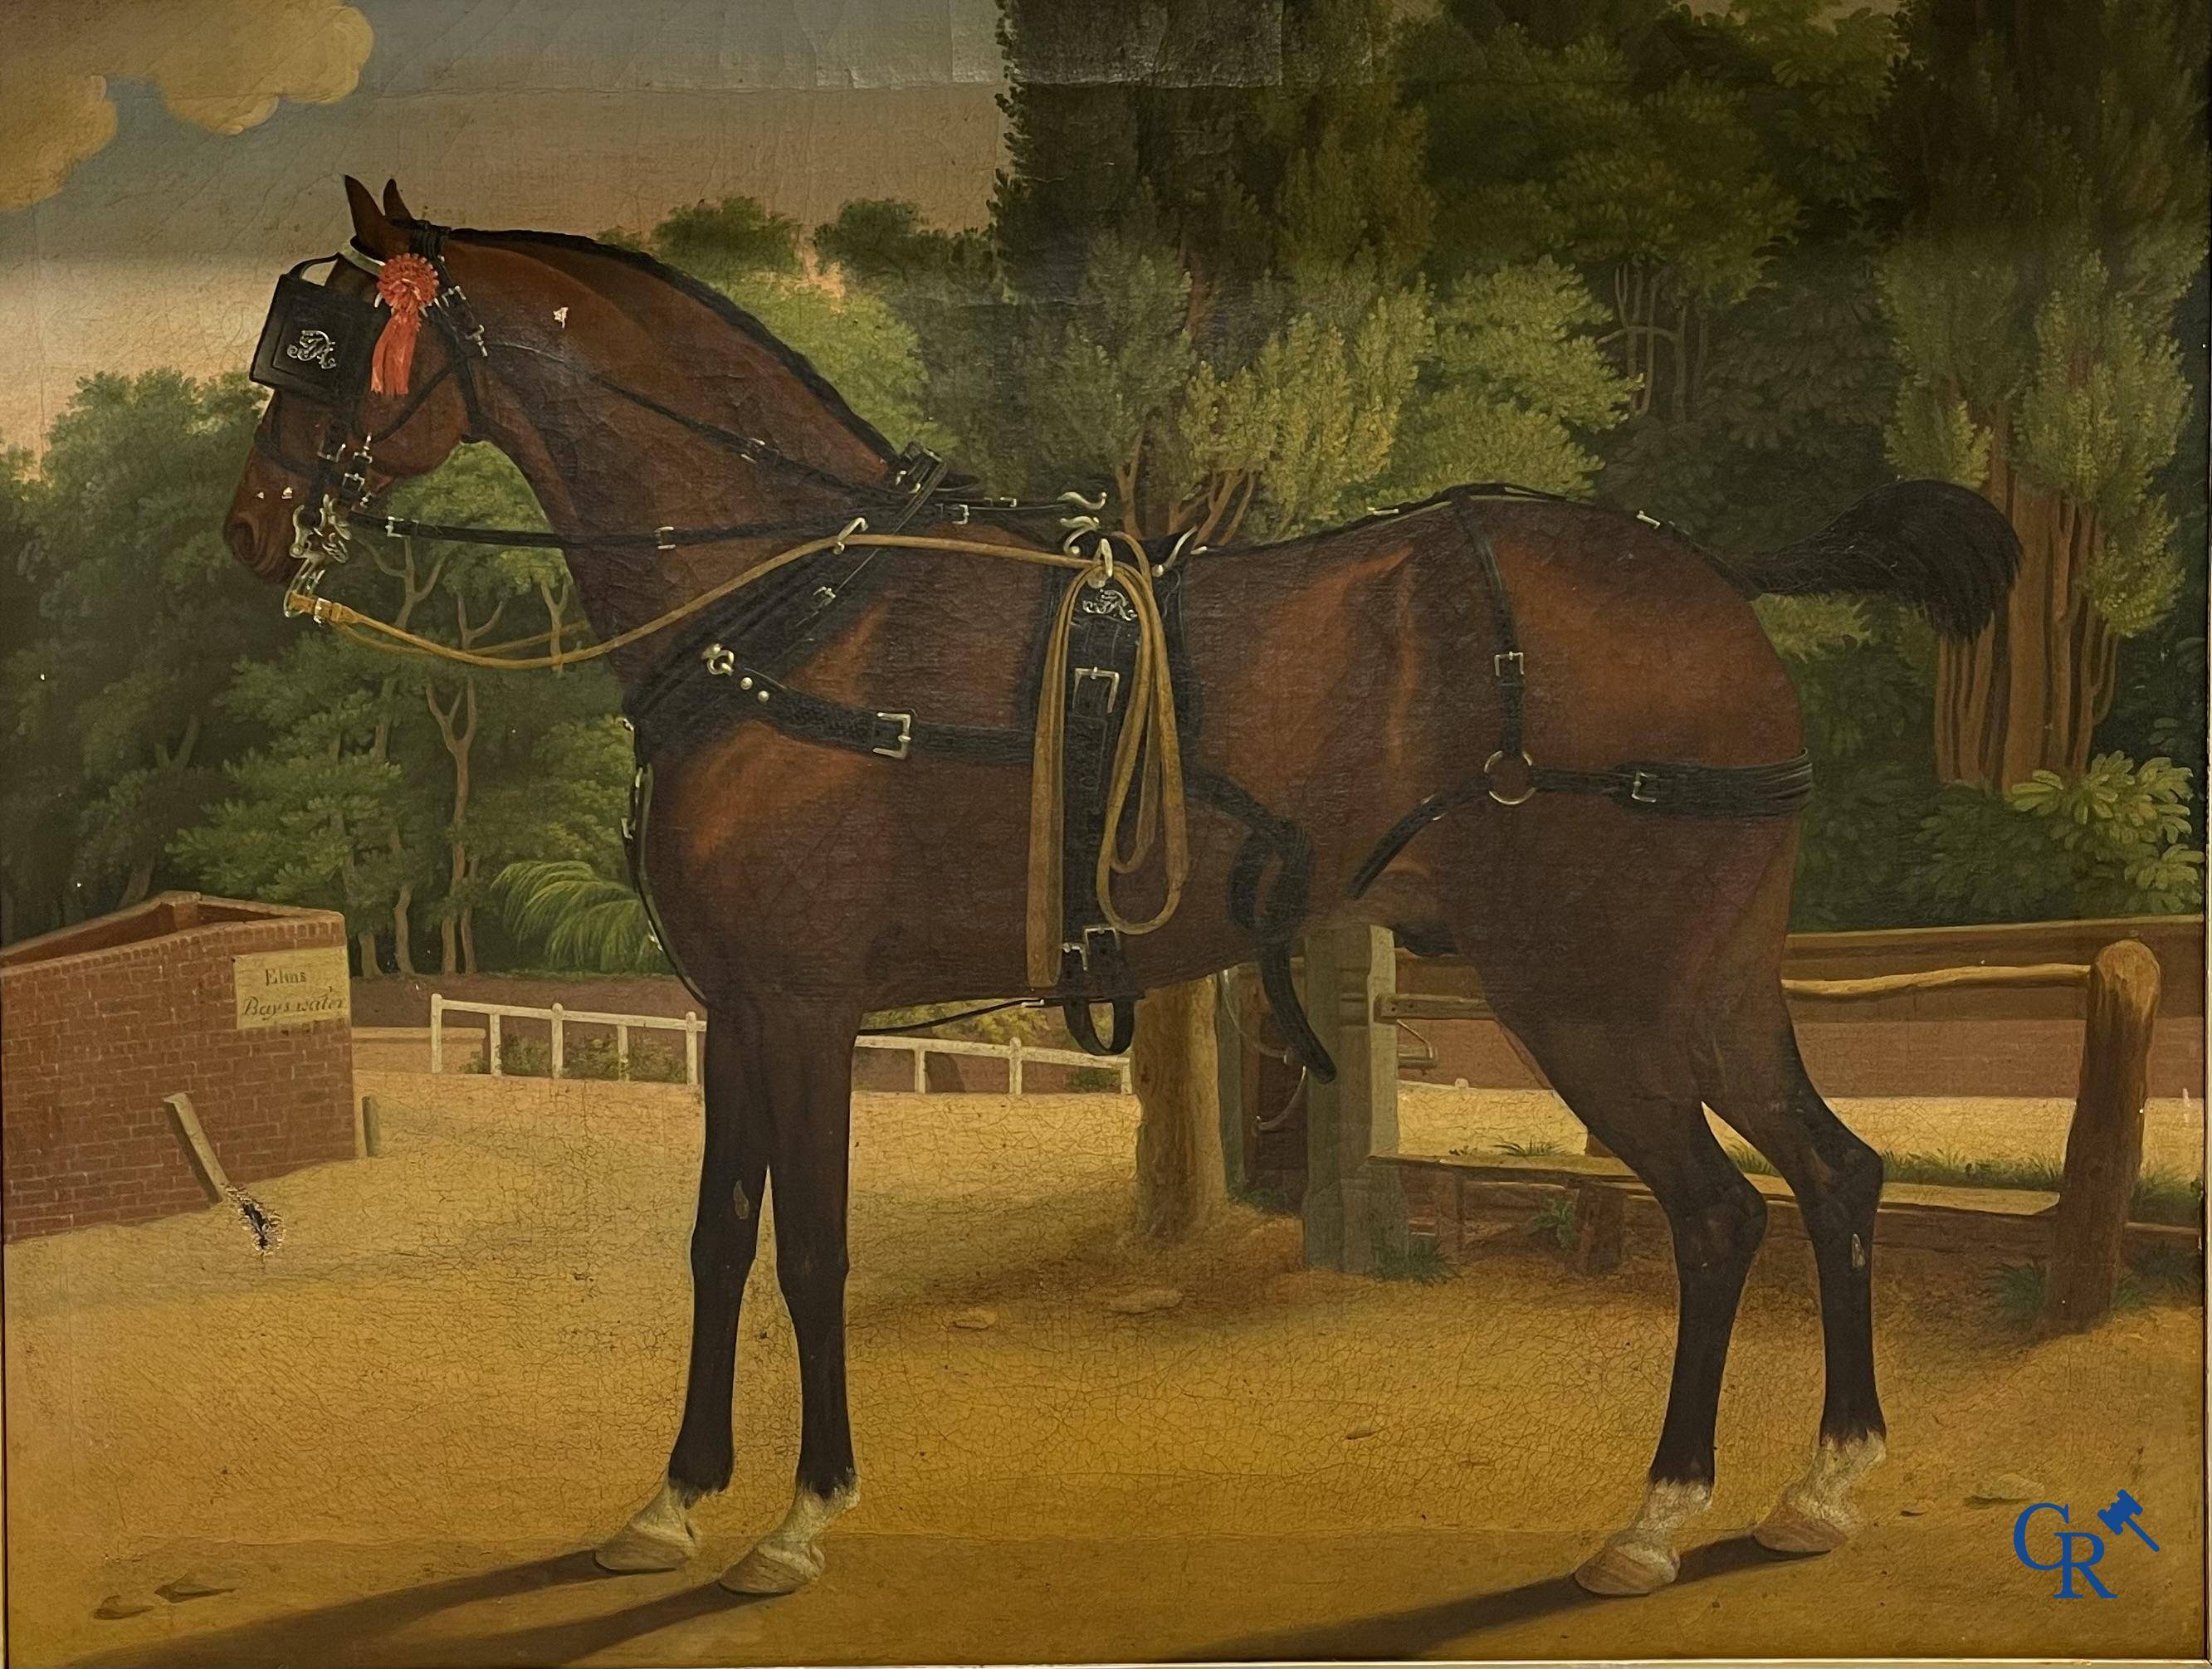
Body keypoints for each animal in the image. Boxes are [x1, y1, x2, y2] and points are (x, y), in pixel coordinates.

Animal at [224, 177, 2020, 1599]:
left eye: (332, 349)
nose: (250, 528)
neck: (808, 592)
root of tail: (1710, 574)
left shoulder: (806, 1006)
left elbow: (811, 1249)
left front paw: (801, 1520)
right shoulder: (733, 1010)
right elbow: (720, 1240)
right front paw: (672, 1500)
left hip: (1594, 1000)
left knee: (1718, 1214)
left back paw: (1655, 1517)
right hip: (1708, 989)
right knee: (1834, 1175)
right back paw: (1817, 1484)